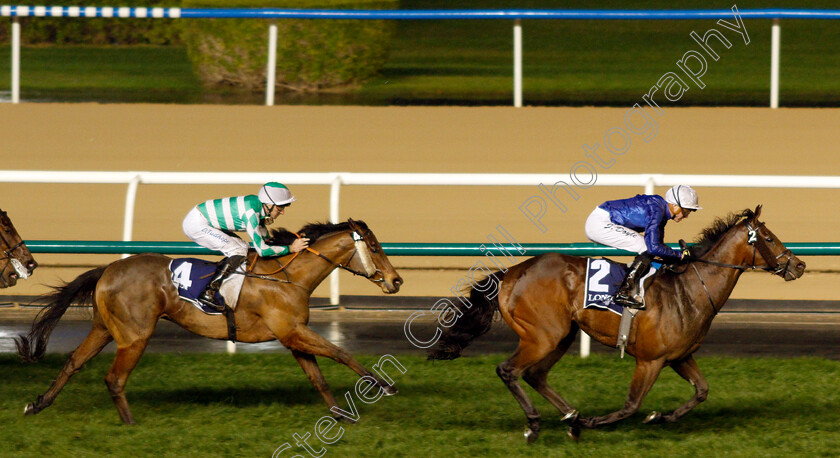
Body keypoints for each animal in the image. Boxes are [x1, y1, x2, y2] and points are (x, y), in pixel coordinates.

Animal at [16, 220, 404, 424]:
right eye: (374, 246)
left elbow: (318, 377)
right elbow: (341, 353)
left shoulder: (293, 336)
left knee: (73, 362)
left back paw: (38, 404)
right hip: (135, 335)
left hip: (104, 329)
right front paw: (384, 386)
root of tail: (108, 269)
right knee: (114, 378)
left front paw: (339, 414)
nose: (396, 280)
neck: (288, 277)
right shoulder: (294, 332)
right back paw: (130, 424)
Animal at [434, 207, 808, 440]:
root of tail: (511, 273)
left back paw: (572, 418)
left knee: (535, 374)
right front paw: (601, 421)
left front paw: (662, 417)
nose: (799, 265)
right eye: (769, 238)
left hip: (561, 335)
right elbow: (631, 405)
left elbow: (701, 391)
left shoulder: (680, 356)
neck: (689, 289)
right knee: (509, 370)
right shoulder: (651, 360)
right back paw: (538, 424)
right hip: (542, 336)